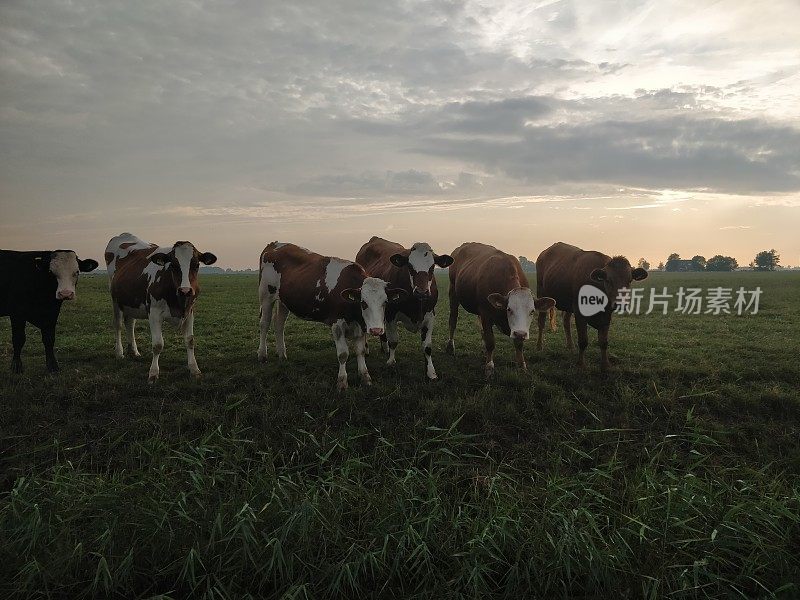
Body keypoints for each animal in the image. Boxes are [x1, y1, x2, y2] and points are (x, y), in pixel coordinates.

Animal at [108, 232, 219, 382]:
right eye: (173, 265)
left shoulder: (190, 311)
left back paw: (134, 351)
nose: (185, 290)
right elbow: (158, 344)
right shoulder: (154, 313)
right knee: (118, 325)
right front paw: (153, 373)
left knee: (130, 323)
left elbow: (190, 340)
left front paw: (194, 369)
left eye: (196, 265)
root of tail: (124, 235)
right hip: (116, 300)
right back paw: (119, 353)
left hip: (131, 302)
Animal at [258, 241, 406, 392]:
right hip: (266, 295)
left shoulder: (360, 325)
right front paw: (342, 382)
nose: (377, 330)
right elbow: (343, 354)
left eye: (385, 302)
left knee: (279, 324)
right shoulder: (337, 324)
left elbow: (361, 351)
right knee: (265, 323)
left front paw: (365, 377)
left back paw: (282, 354)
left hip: (284, 301)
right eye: (363, 303)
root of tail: (274, 244)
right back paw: (262, 355)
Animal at [354, 237, 454, 378]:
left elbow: (427, 347)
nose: (422, 292)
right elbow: (394, 341)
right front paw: (391, 362)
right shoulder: (391, 314)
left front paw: (431, 371)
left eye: (432, 267)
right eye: (410, 267)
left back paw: (384, 347)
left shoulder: (430, 315)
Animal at [446, 241, 552, 378]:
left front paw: (521, 365)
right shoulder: (485, 313)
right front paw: (489, 367)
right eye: (509, 309)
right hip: (453, 292)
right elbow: (490, 342)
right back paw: (450, 346)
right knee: (453, 320)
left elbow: (518, 344)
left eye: (532, 311)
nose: (520, 334)